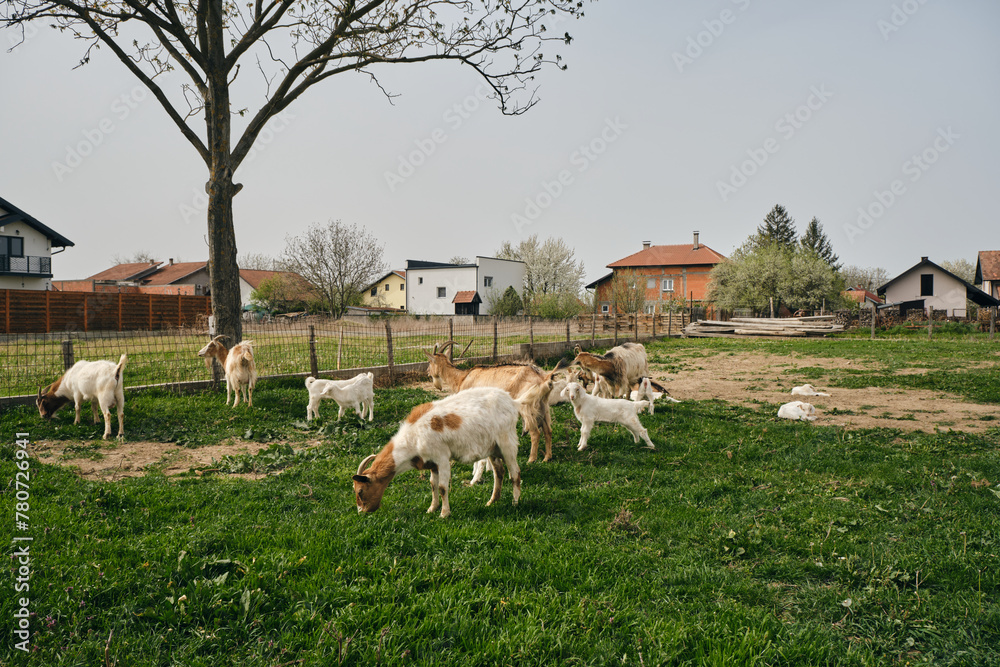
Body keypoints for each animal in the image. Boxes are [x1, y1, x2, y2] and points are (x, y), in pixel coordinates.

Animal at [353, 387, 522, 518]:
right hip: (492, 447)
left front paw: (444, 514)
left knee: (515, 472)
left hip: (507, 443)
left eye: (360, 491)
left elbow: (442, 487)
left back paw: (515, 502)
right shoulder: (432, 463)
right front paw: (431, 509)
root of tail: (512, 402)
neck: (413, 436)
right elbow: (433, 485)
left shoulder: (442, 459)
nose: (361, 511)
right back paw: (492, 501)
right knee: (499, 472)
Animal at [424, 341, 567, 463]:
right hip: (543, 405)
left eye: (430, 362)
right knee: (548, 430)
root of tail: (544, 378)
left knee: (535, 432)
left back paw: (531, 460)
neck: (462, 378)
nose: (427, 372)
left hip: (527, 406)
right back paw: (547, 458)